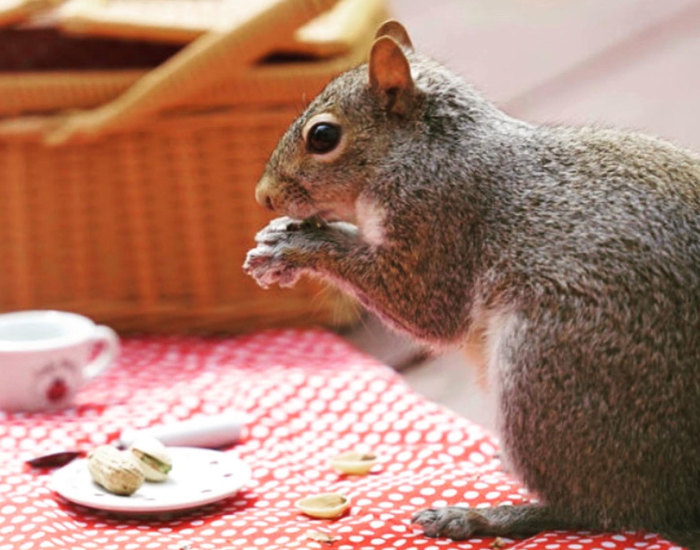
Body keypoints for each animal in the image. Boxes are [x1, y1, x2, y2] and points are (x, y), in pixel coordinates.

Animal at [244, 20, 700, 548]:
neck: (430, 151)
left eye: (323, 136)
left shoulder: (439, 220)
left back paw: (482, 516)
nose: (263, 196)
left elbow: (426, 308)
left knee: (595, 508)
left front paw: (295, 244)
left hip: (550, 373)